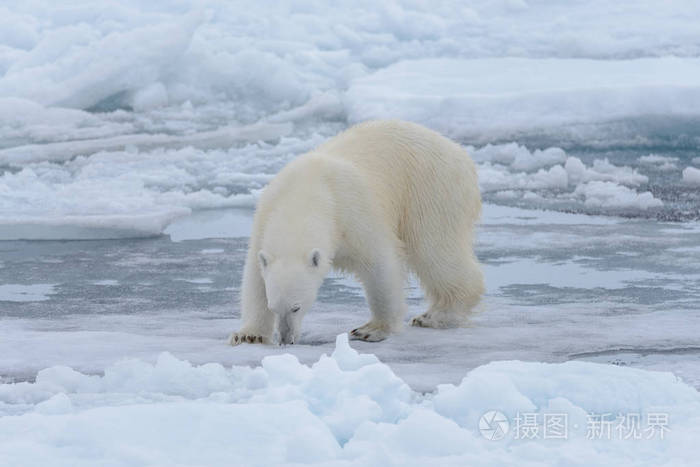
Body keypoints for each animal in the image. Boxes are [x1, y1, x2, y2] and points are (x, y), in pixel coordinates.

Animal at [230, 119, 482, 348]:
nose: (285, 339)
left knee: (434, 250)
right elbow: (254, 276)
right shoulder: (264, 218)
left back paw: (437, 315)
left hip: (431, 191)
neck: (304, 193)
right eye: (273, 306)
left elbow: (379, 264)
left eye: (296, 307)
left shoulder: (351, 212)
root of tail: (461, 154)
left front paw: (371, 330)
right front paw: (248, 335)